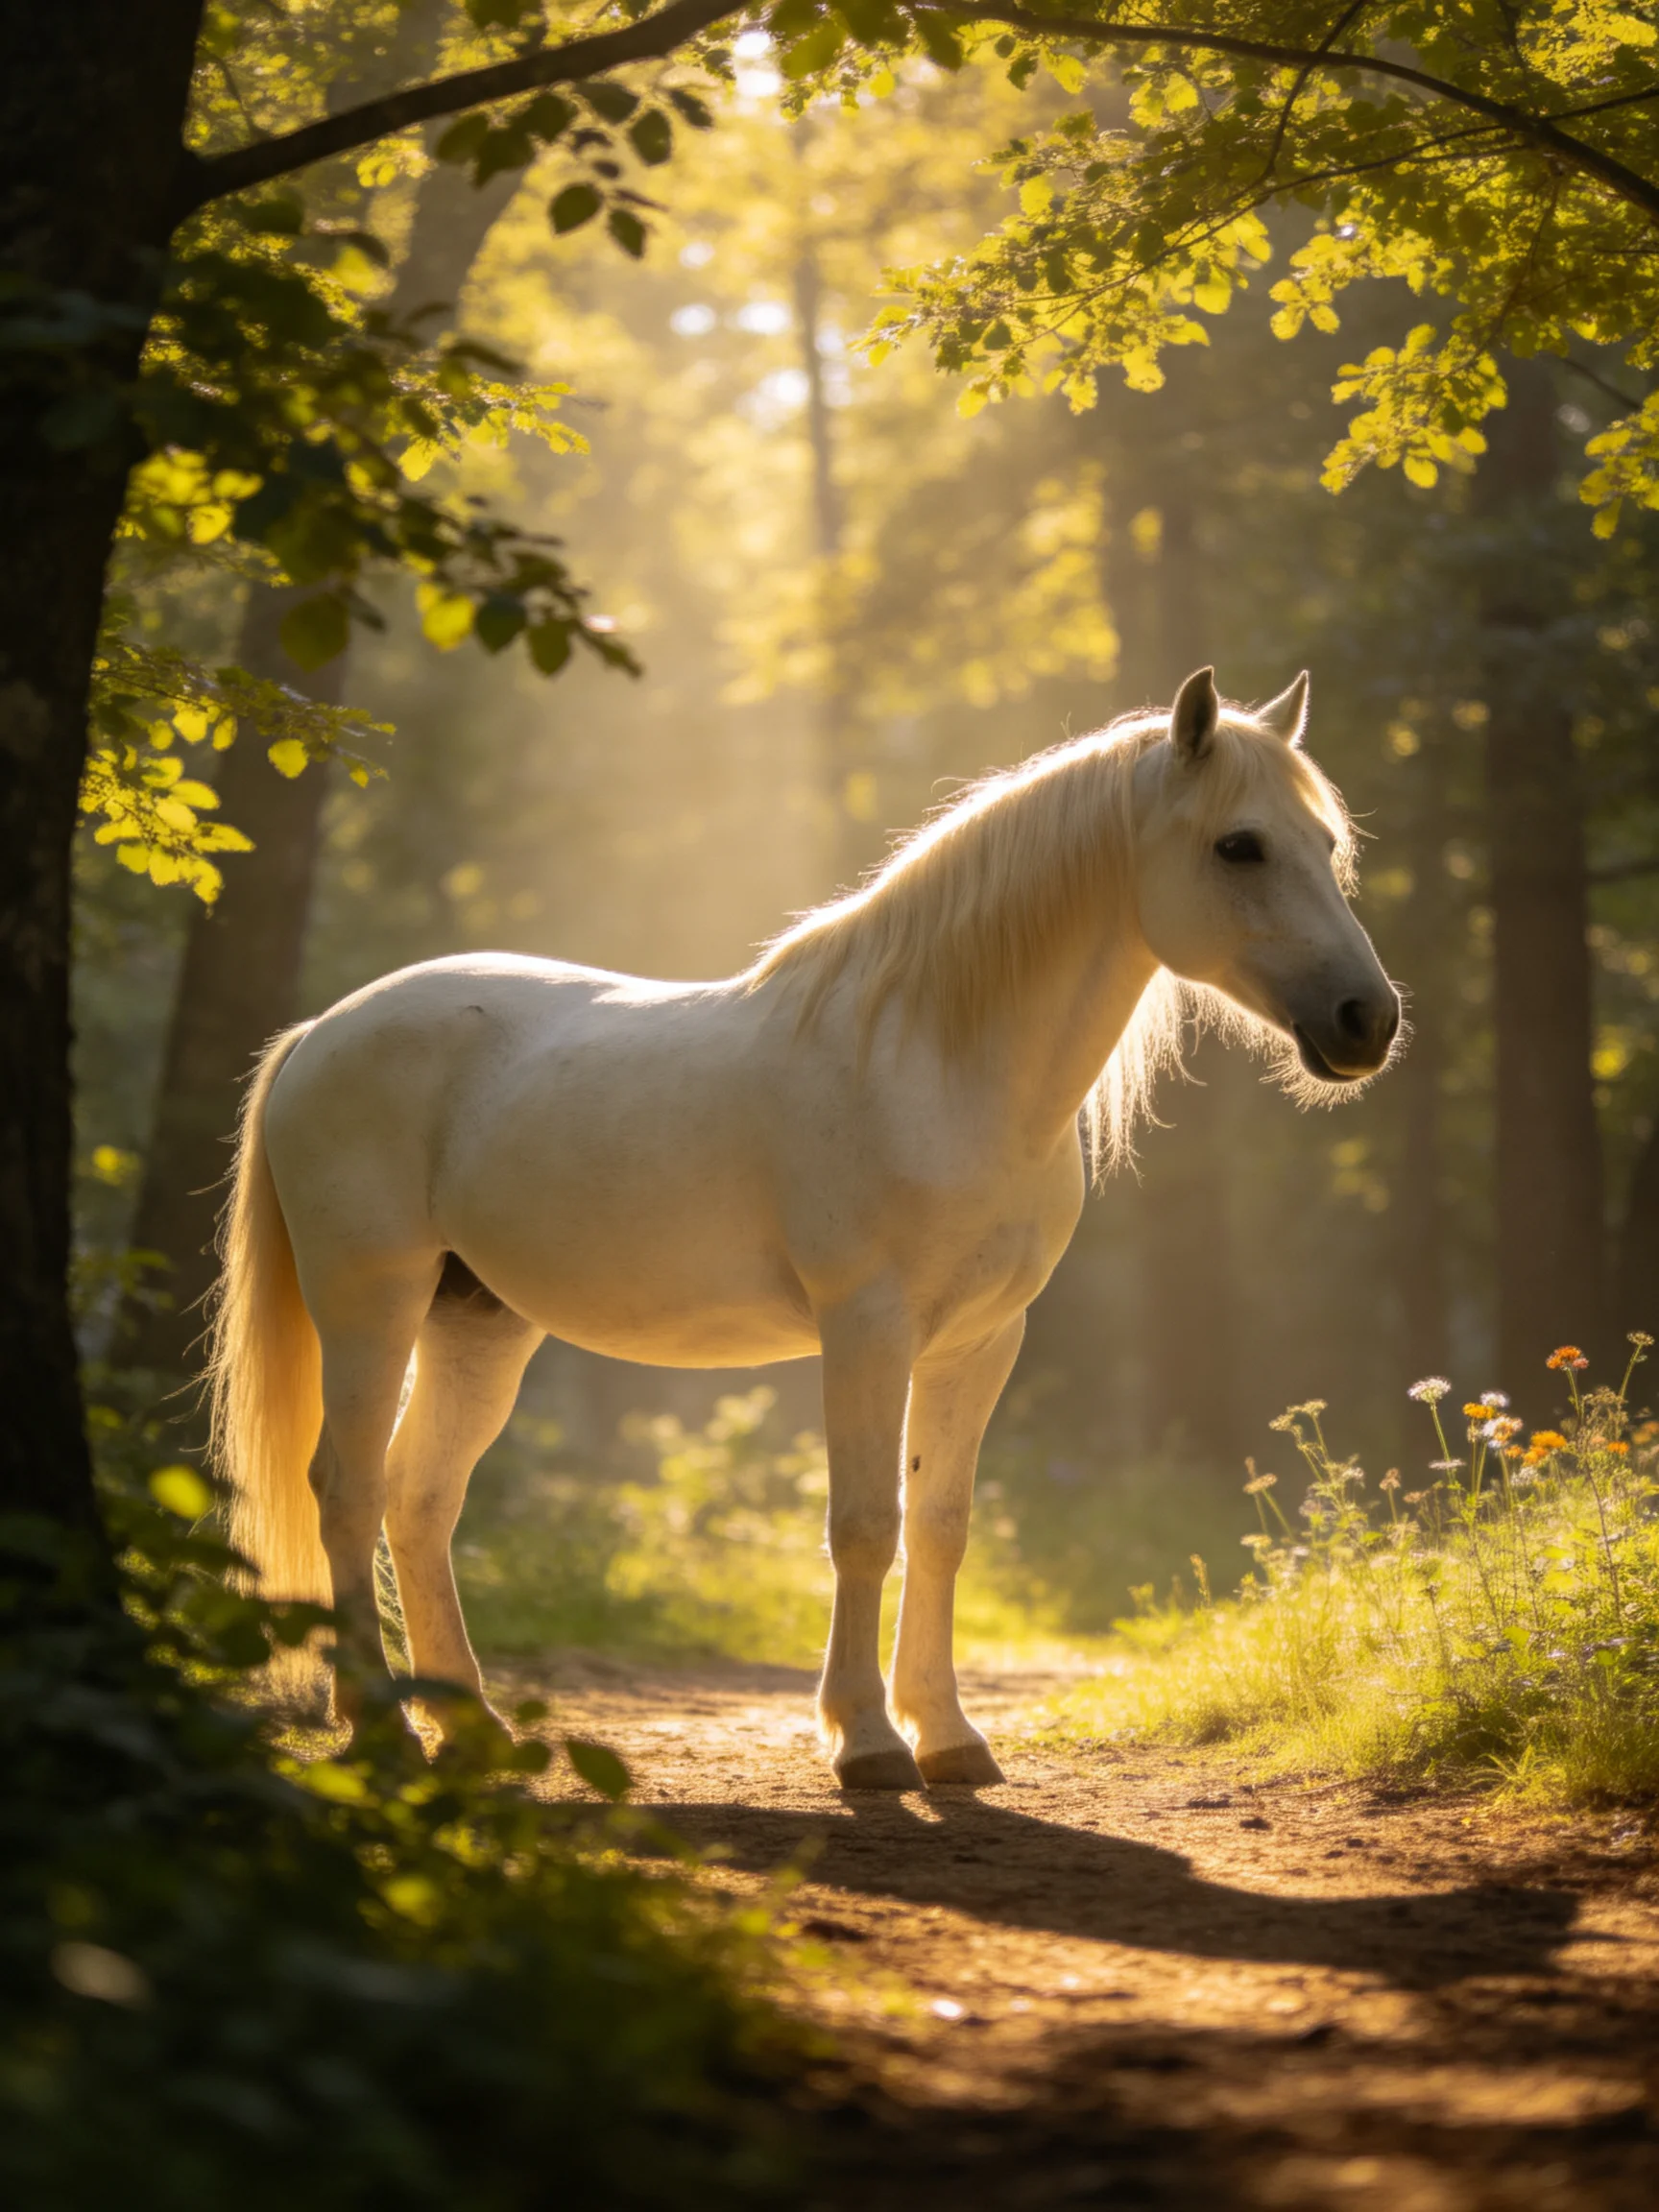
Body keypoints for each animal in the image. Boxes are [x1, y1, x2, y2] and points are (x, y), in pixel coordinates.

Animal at [210, 665, 1400, 1790]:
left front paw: (950, 1738)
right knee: (349, 1490)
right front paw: (867, 1744)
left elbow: (942, 1526)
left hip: (480, 1321)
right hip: (371, 1303)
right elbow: (865, 1526)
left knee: (421, 1501)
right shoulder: (865, 1328)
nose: (1368, 1021)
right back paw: (383, 1730)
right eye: (1239, 845)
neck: (935, 1065)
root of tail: (321, 1031)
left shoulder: (981, 1341)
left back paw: (474, 1728)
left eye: (1326, 842)